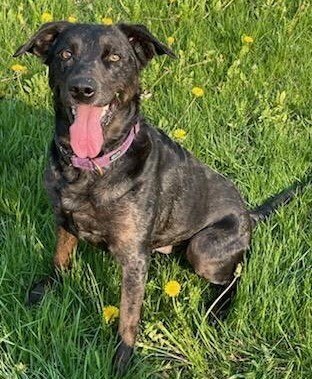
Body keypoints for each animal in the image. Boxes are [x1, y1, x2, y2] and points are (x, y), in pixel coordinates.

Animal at [14, 22, 310, 376]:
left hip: (204, 248)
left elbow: (128, 318)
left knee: (235, 276)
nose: (82, 89)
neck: (92, 168)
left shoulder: (134, 260)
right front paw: (43, 291)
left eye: (115, 57)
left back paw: (217, 312)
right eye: (65, 54)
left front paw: (122, 361)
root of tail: (248, 214)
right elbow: (60, 258)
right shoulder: (64, 219)